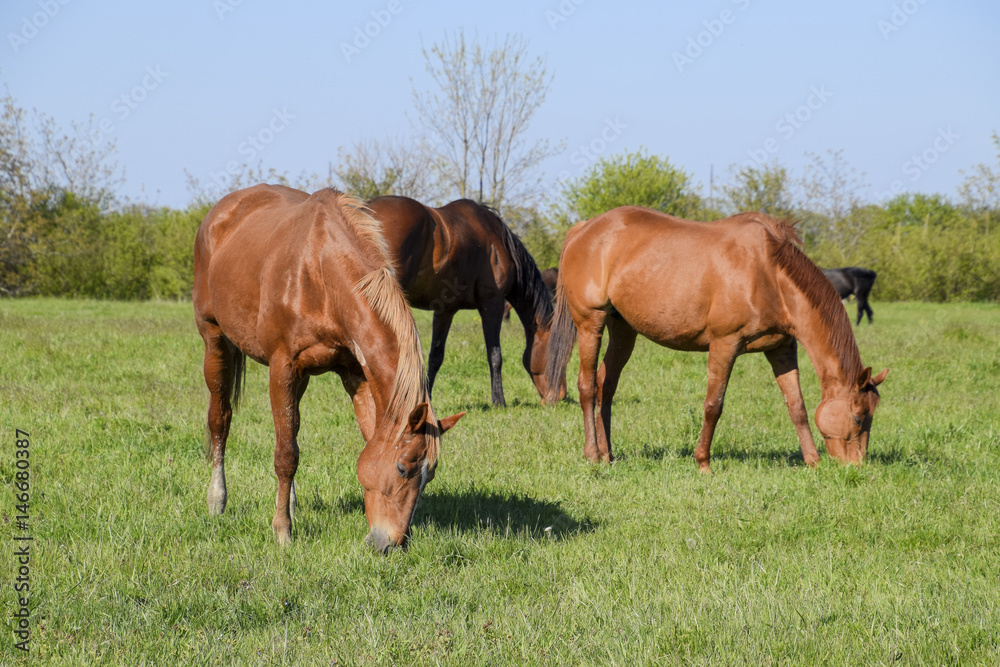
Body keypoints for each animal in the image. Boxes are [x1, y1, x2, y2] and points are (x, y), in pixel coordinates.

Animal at [193, 184, 462, 552]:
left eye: (429, 475)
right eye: (403, 468)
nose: (392, 544)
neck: (320, 271)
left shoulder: (355, 374)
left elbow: (314, 438)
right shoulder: (282, 367)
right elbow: (286, 454)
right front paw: (282, 531)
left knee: (290, 426)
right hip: (215, 340)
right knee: (220, 418)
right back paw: (217, 500)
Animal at [370, 196, 572, 408]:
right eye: (559, 356)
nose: (560, 397)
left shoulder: (445, 311)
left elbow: (436, 356)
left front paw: (428, 399)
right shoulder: (493, 303)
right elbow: (495, 355)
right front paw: (499, 401)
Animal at [548, 207, 892, 470]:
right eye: (858, 418)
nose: (855, 467)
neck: (768, 273)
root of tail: (583, 229)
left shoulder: (782, 348)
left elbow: (797, 406)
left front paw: (812, 462)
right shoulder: (725, 344)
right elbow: (714, 405)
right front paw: (703, 462)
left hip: (623, 330)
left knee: (606, 385)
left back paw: (608, 454)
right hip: (590, 324)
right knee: (588, 386)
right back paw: (593, 454)